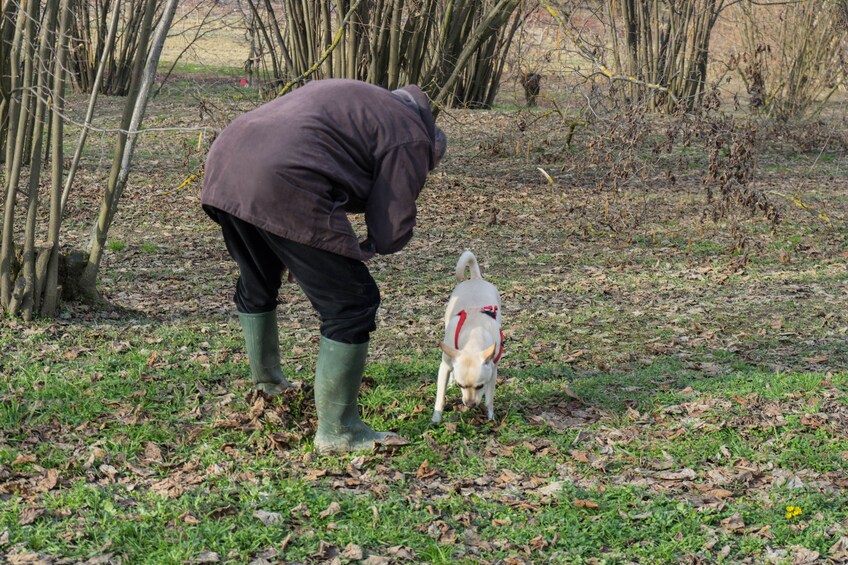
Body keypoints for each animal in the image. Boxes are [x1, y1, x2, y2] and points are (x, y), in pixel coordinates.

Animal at [430, 249, 504, 420]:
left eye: (480, 386)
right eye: (461, 385)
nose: (470, 405)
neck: (473, 338)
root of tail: (475, 278)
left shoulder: (492, 373)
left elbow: (489, 399)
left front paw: (491, 417)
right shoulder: (444, 367)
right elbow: (440, 396)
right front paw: (436, 417)